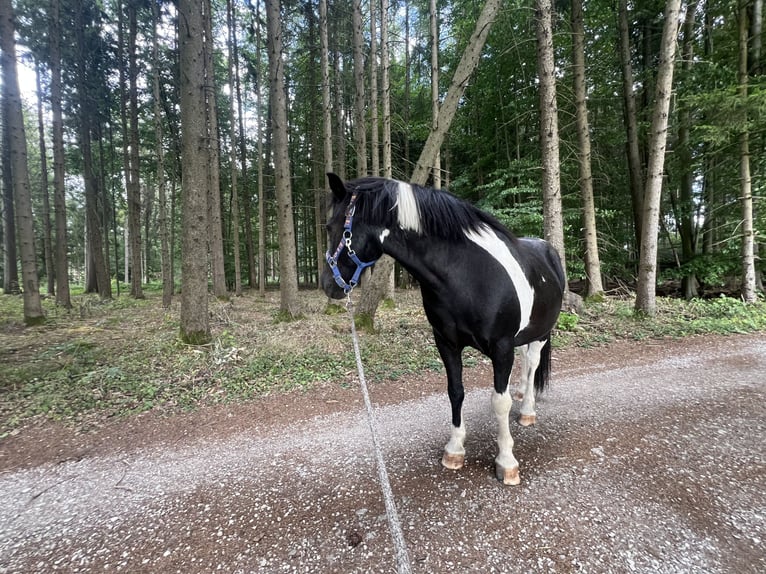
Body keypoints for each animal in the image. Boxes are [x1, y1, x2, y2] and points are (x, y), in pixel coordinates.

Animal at [321, 173, 565, 485]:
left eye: (332, 226)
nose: (329, 285)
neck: (466, 274)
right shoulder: (446, 342)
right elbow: (456, 392)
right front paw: (455, 450)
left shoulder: (501, 347)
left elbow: (500, 401)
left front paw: (506, 461)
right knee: (524, 364)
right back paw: (521, 395)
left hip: (542, 333)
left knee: (533, 363)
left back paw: (527, 411)